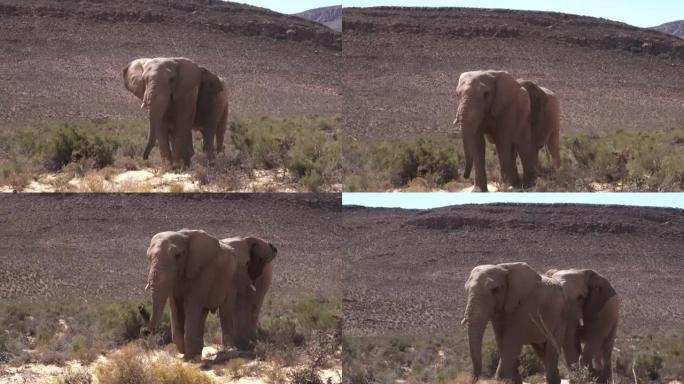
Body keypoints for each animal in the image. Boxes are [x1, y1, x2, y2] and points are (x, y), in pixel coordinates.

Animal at [144, 228, 276, 360]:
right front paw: (187, 354)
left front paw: (190, 357)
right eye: (148, 257)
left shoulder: (206, 272)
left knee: (237, 308)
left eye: (177, 256)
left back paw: (241, 347)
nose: (151, 331)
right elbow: (176, 306)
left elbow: (193, 304)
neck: (182, 235)